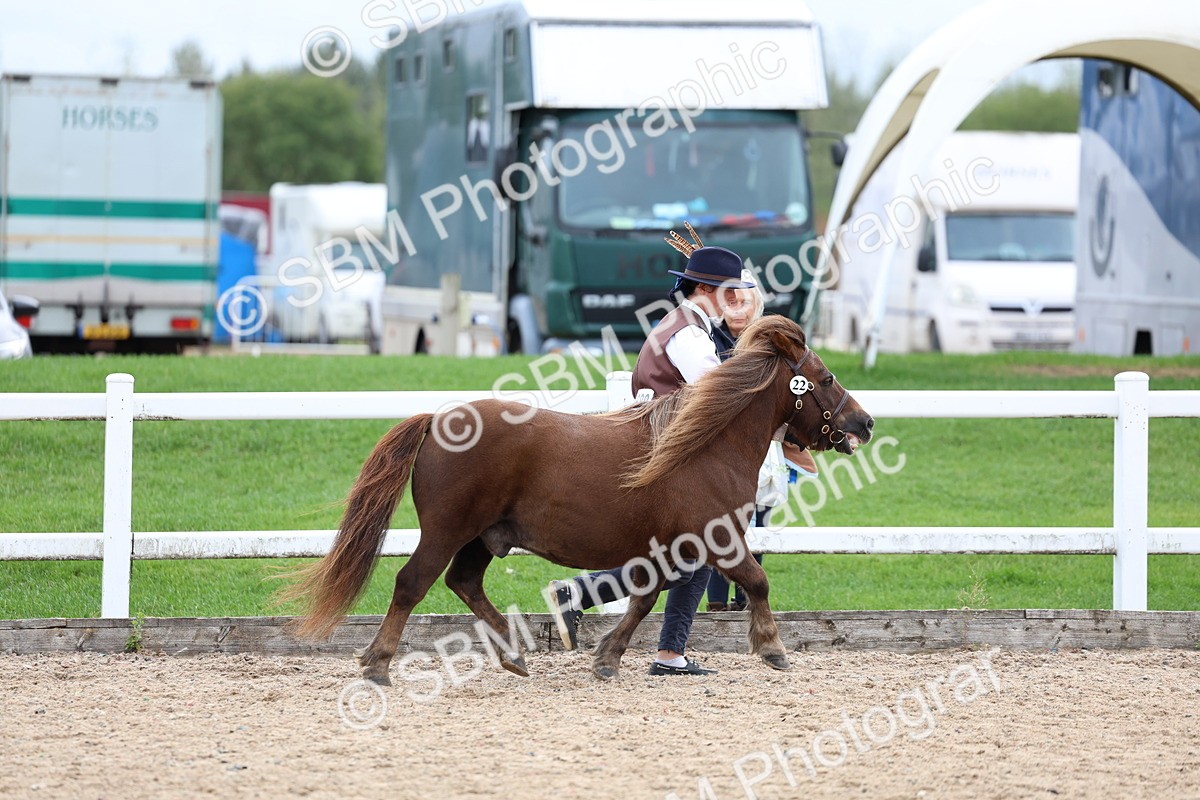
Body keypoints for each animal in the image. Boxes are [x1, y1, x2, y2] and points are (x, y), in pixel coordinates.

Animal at [282, 314, 874, 683]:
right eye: (826, 377)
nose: (864, 423)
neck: (704, 444)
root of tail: (437, 420)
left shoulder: (671, 549)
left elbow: (644, 598)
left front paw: (607, 657)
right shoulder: (719, 539)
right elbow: (756, 581)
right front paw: (772, 648)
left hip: (482, 538)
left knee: (463, 582)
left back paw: (514, 653)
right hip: (448, 531)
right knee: (412, 584)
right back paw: (379, 664)